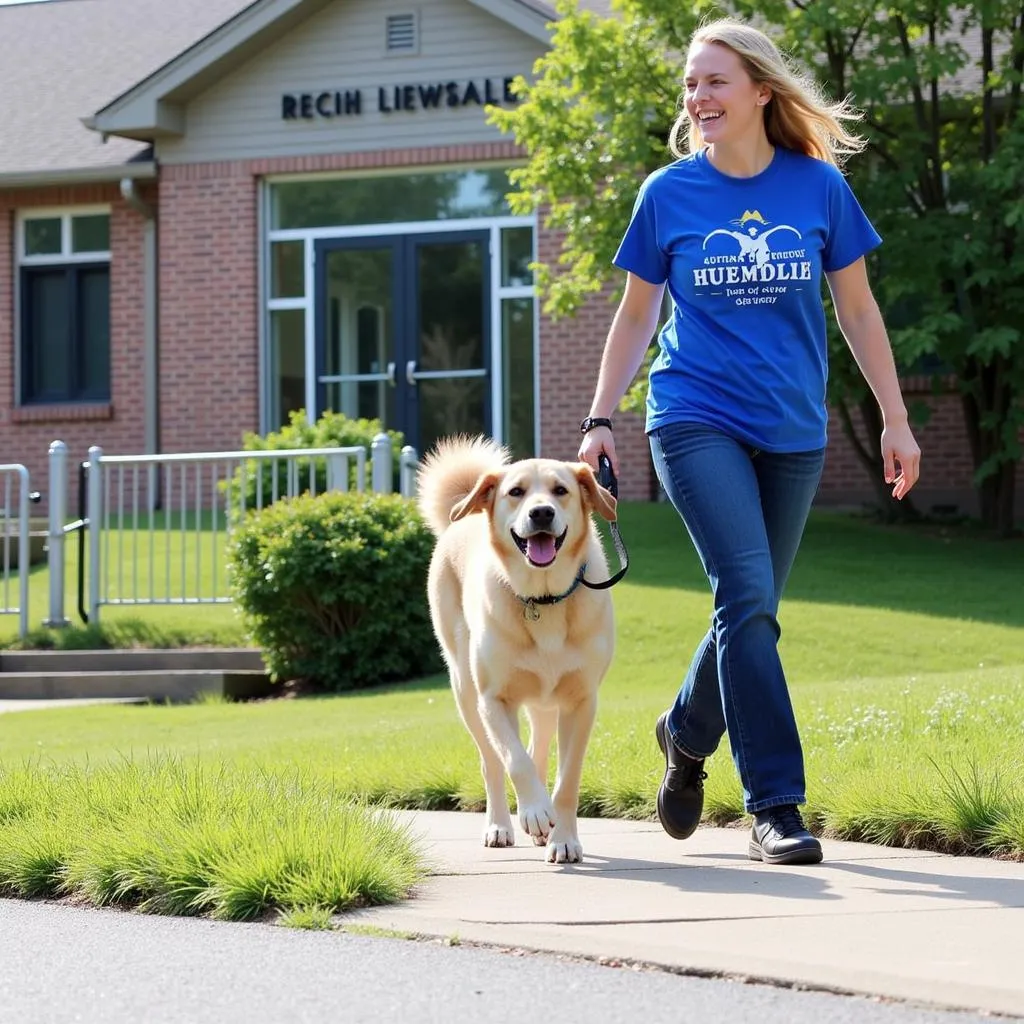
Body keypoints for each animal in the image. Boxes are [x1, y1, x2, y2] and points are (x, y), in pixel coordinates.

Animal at [415, 434, 614, 864]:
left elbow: (567, 778)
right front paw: (535, 811)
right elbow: (514, 760)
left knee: (538, 748)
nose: (540, 513)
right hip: (466, 693)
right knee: (492, 761)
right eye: (516, 492)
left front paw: (563, 838)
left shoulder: (581, 701)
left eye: (560, 490)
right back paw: (502, 825)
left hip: (545, 703)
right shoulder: (494, 699)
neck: (544, 598)